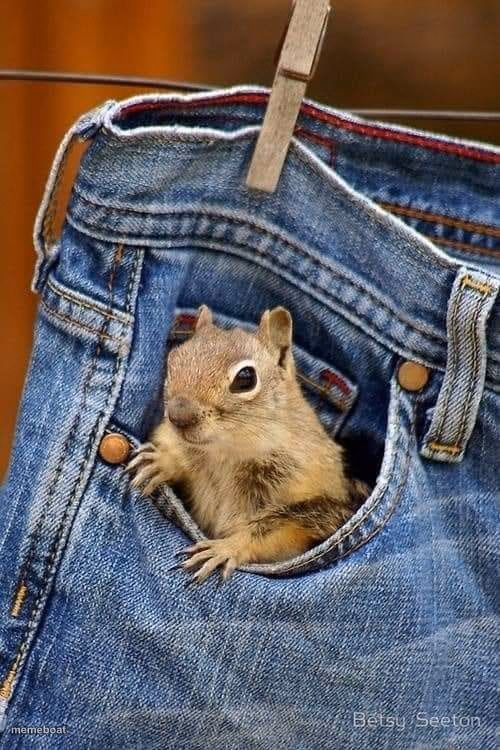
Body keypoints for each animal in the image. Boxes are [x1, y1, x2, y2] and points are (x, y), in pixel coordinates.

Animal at [128, 305, 369, 583]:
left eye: (246, 378)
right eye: (173, 359)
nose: (179, 415)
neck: (226, 453)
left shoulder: (304, 503)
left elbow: (266, 534)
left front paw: (225, 548)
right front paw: (161, 462)